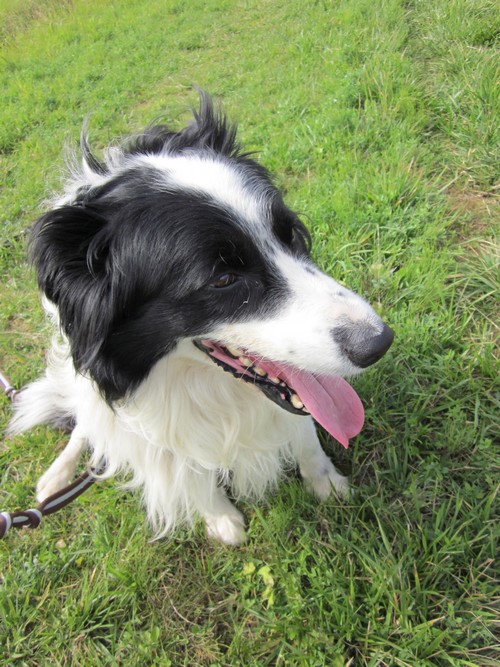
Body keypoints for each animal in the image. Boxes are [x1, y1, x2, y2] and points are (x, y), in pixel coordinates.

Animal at [5, 92, 392, 544]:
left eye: (290, 234)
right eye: (223, 279)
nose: (379, 342)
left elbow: (308, 436)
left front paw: (326, 481)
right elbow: (184, 471)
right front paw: (222, 519)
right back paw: (56, 477)